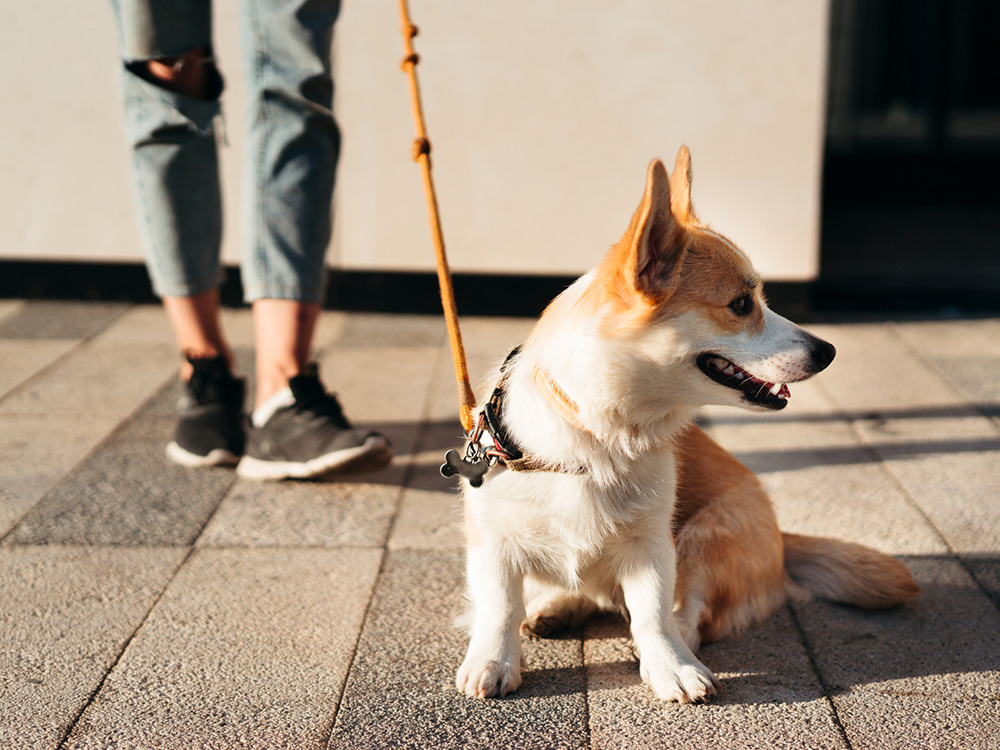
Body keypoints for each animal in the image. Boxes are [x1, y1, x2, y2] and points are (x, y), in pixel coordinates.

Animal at [458, 148, 916, 704]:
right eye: (740, 305)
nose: (828, 351)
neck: (599, 435)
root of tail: (782, 538)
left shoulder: (654, 546)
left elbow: (655, 613)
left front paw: (671, 668)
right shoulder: (492, 542)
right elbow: (500, 606)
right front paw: (492, 662)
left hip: (705, 536)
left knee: (689, 613)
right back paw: (555, 608)